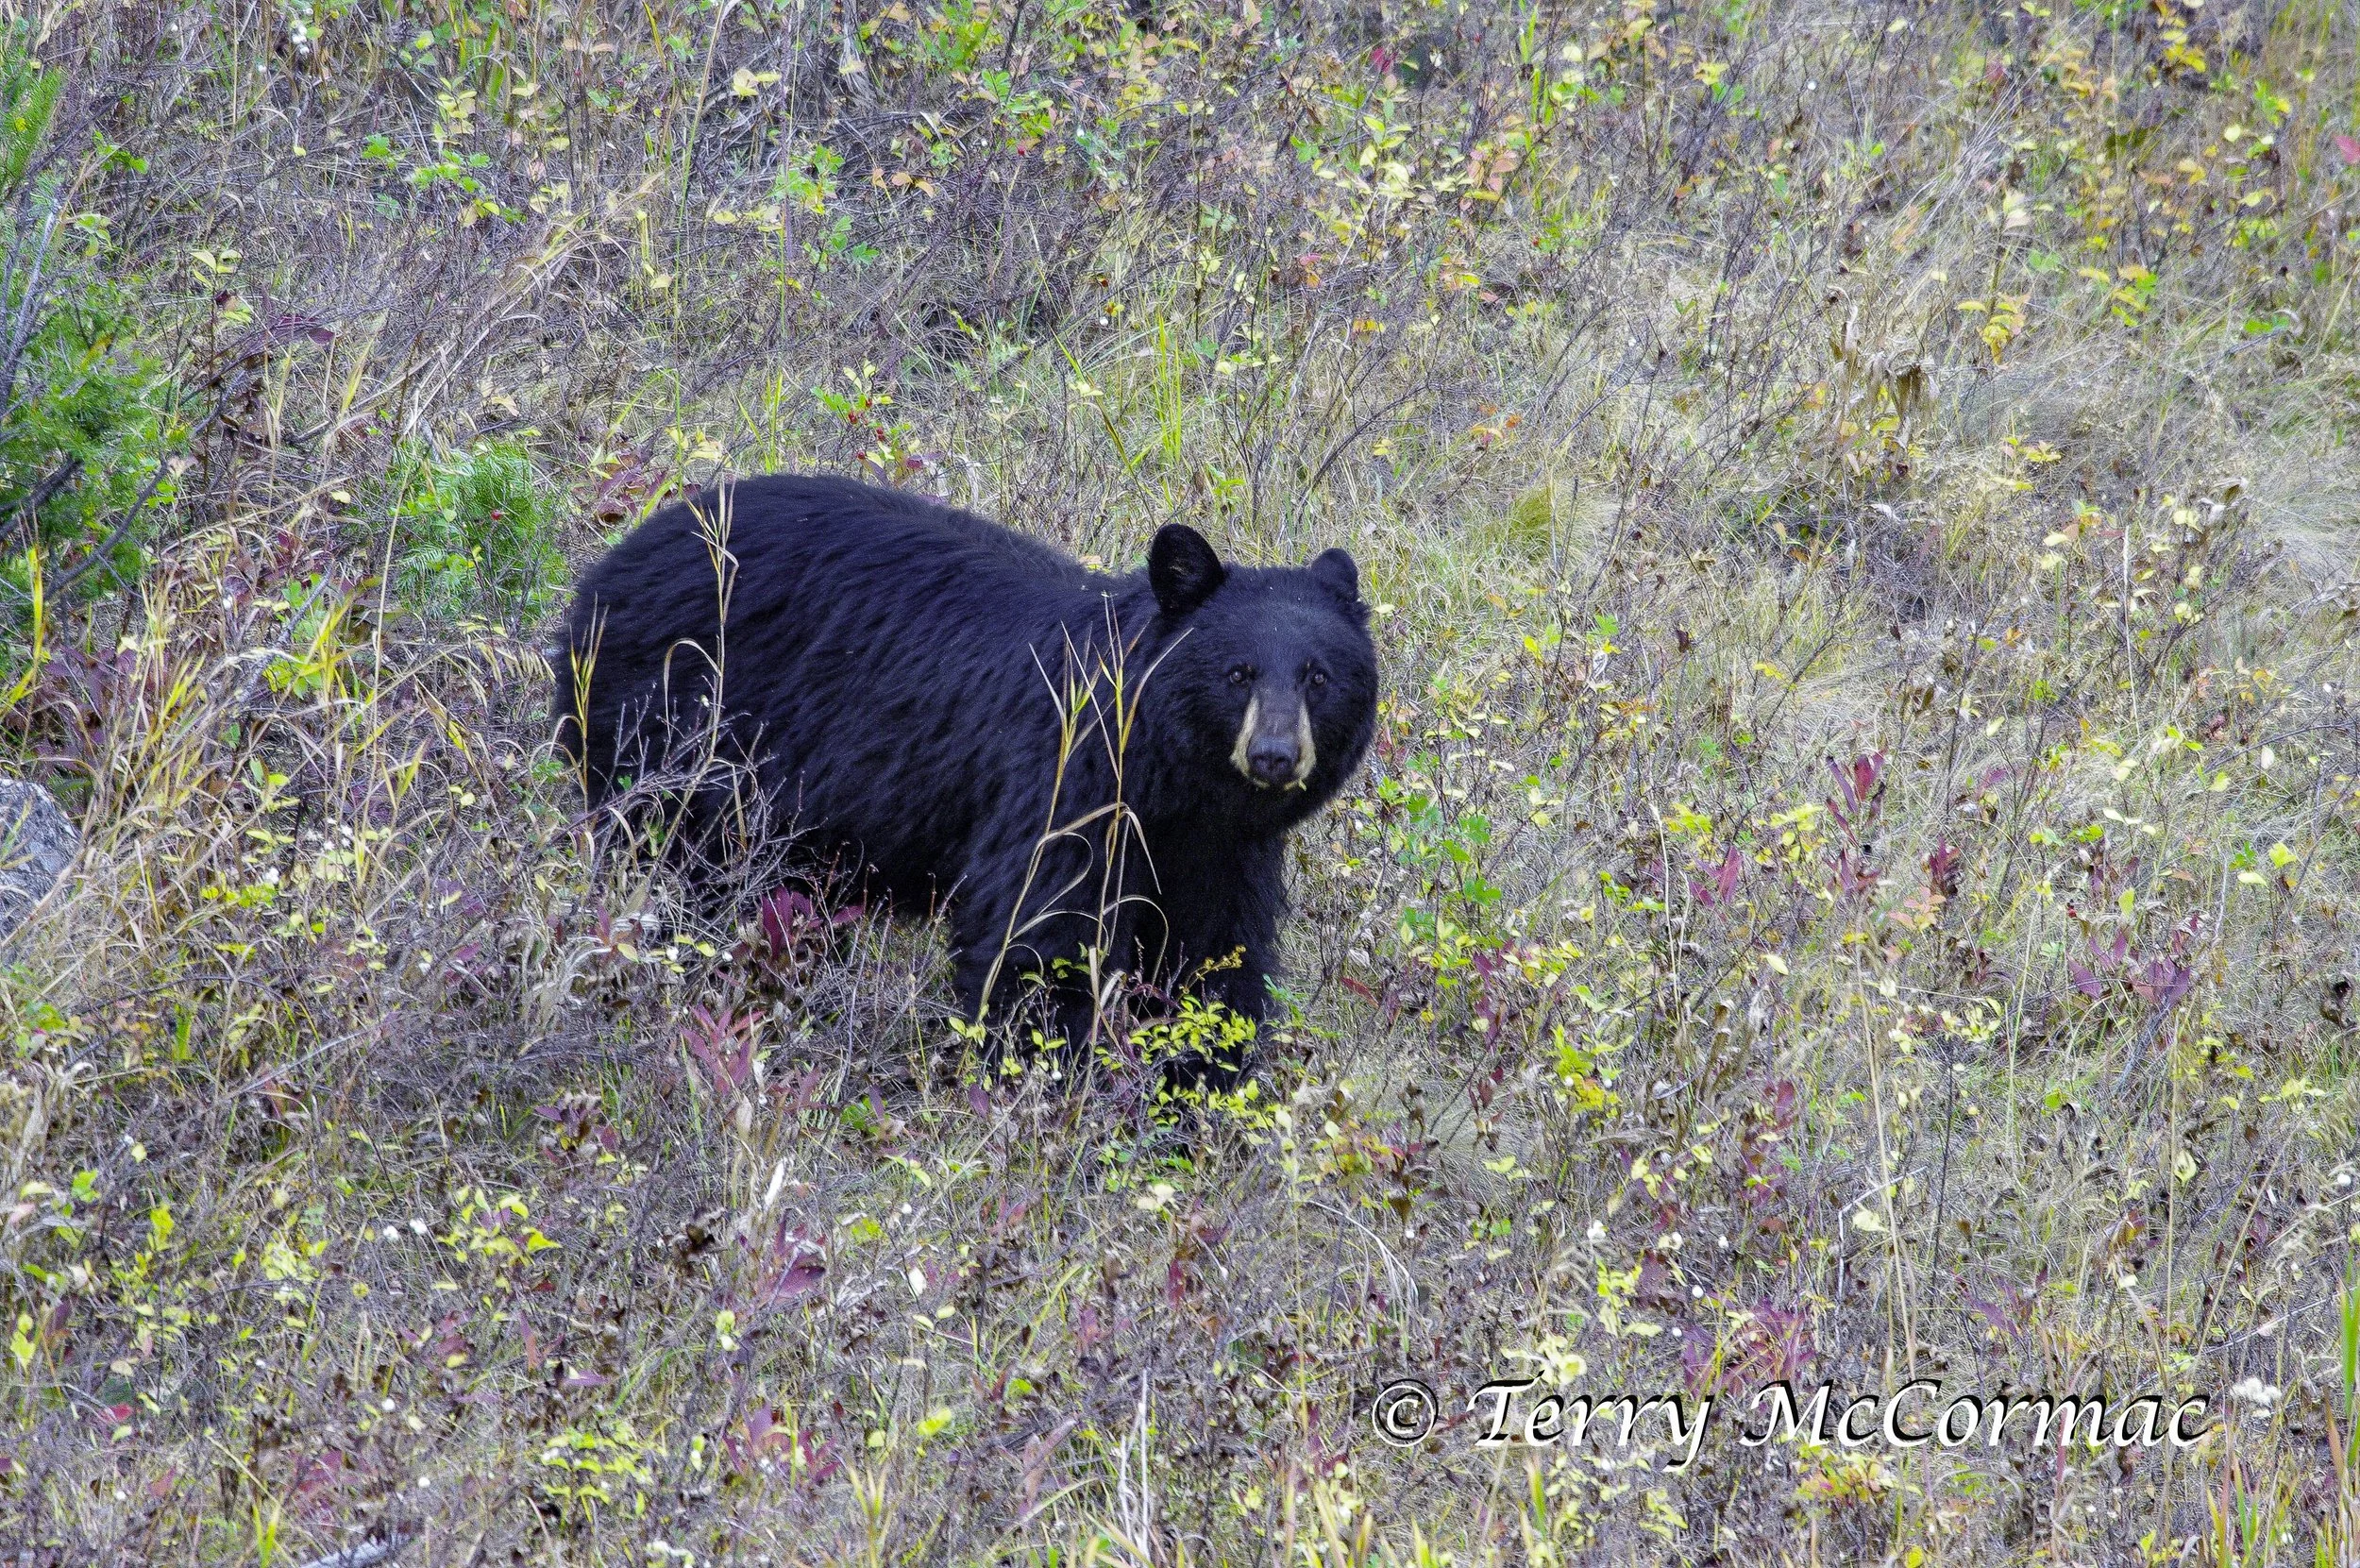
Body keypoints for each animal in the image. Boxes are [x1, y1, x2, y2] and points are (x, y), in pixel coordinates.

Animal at [553, 473, 1378, 1080]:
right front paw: (1056, 1087)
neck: (1170, 782)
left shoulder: (1219, 848)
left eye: (1319, 677)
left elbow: (1213, 958)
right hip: (678, 729)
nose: (1274, 755)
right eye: (1238, 674)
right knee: (683, 869)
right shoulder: (1065, 785)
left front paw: (1198, 1092)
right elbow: (1039, 940)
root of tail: (600, 574)